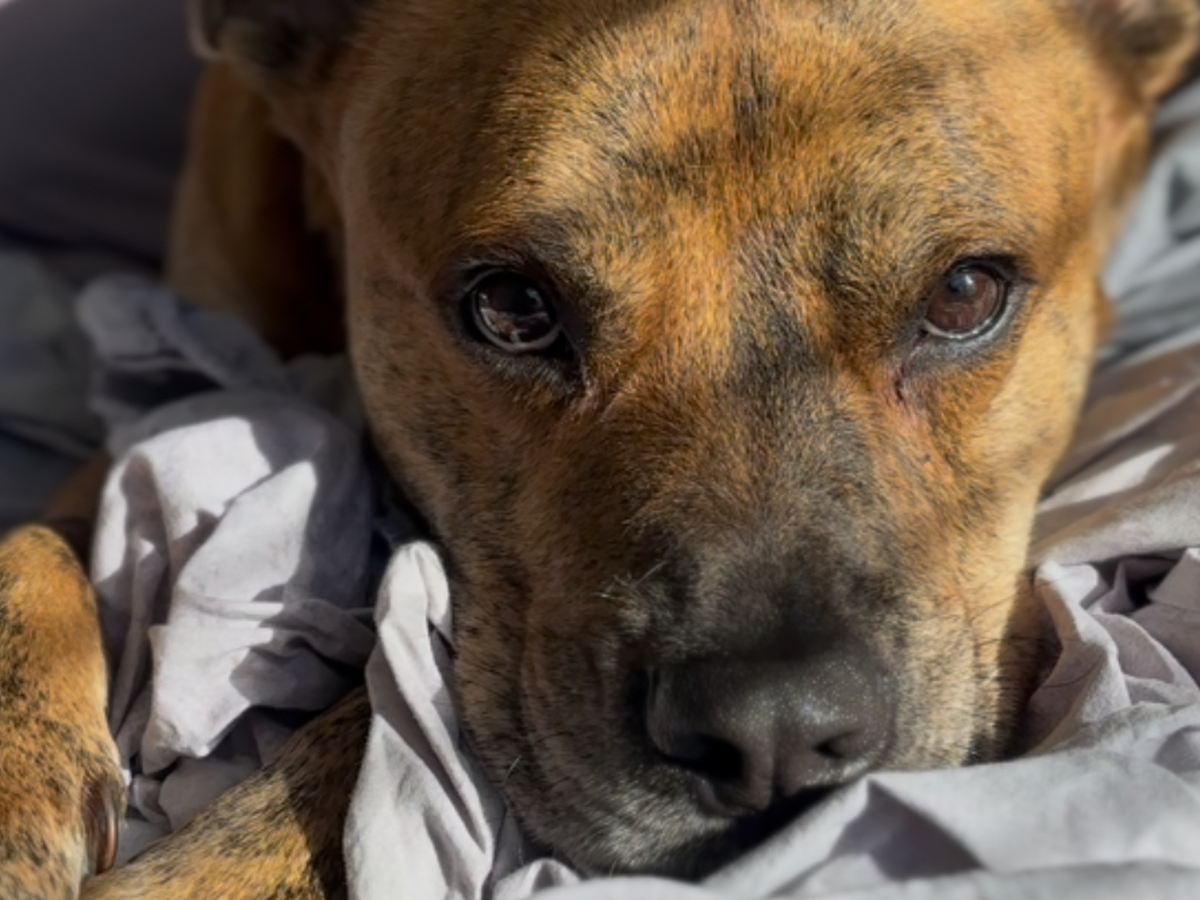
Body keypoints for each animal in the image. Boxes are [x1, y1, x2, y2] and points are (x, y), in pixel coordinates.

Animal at [1, 0, 1198, 896]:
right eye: (512, 308)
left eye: (964, 292)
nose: (771, 735)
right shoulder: (170, 397)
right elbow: (37, 541)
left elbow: (382, 713)